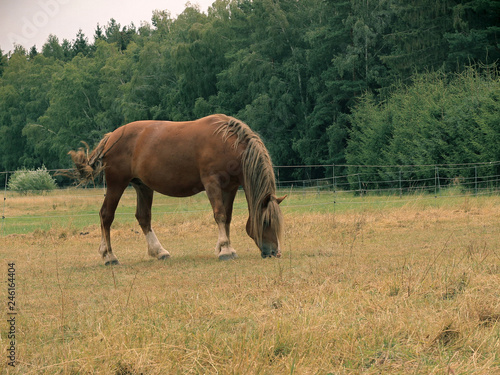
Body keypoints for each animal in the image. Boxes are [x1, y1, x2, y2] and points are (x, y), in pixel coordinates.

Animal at [68, 114, 286, 264]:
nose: (275, 252)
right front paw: (226, 250)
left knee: (143, 217)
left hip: (142, 186)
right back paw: (109, 256)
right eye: (266, 221)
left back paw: (159, 252)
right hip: (117, 183)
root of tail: (110, 137)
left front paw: (223, 247)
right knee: (106, 215)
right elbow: (220, 215)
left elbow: (228, 217)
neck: (227, 143)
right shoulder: (212, 183)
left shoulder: (230, 187)